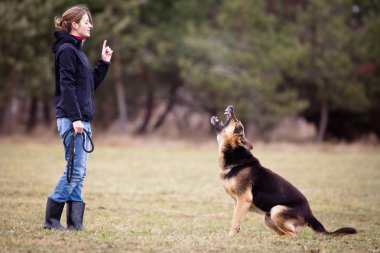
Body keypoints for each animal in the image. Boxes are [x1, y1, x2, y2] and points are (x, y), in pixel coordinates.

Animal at [211, 105, 356, 237]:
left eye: (237, 123)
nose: (231, 106)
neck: (236, 161)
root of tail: (310, 215)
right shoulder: (238, 203)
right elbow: (236, 219)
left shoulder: (243, 200)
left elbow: (235, 220)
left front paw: (230, 236)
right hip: (268, 217)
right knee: (285, 233)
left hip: (276, 210)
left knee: (293, 235)